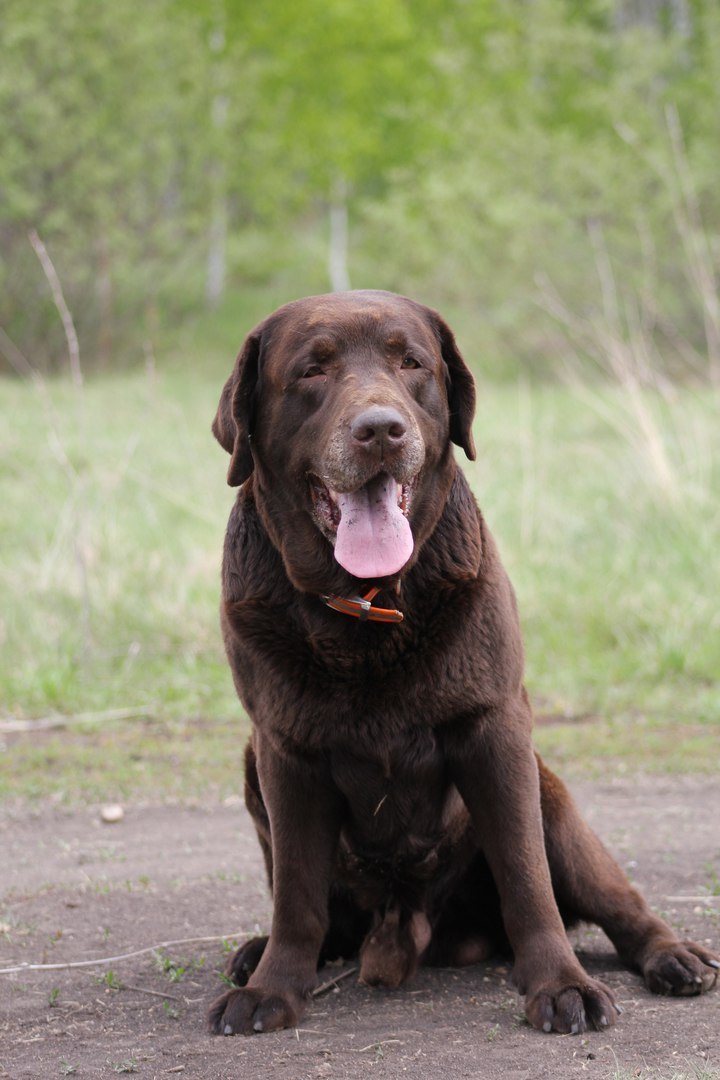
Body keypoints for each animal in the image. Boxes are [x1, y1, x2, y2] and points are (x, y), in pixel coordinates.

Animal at [205, 289, 716, 1036]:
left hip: (553, 798)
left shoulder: (495, 731)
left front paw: (562, 984)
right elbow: (296, 894)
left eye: (412, 363)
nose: (380, 430)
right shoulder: (282, 750)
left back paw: (672, 955)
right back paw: (258, 951)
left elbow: (528, 879)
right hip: (250, 766)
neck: (365, 611)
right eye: (311, 370)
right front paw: (274, 986)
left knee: (613, 900)